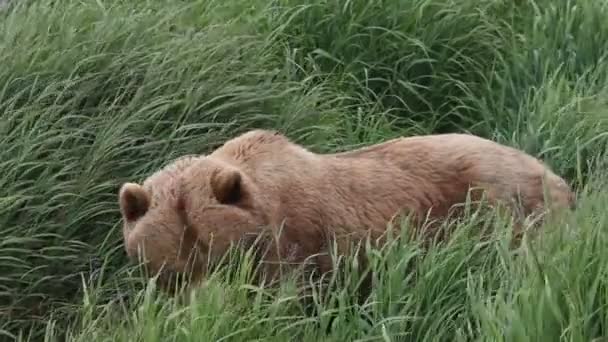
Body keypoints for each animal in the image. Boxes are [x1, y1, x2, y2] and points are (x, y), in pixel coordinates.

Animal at [117, 128, 576, 292]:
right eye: (172, 272)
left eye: (224, 262)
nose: (208, 302)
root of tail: (555, 176)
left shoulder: (297, 244)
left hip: (502, 208)